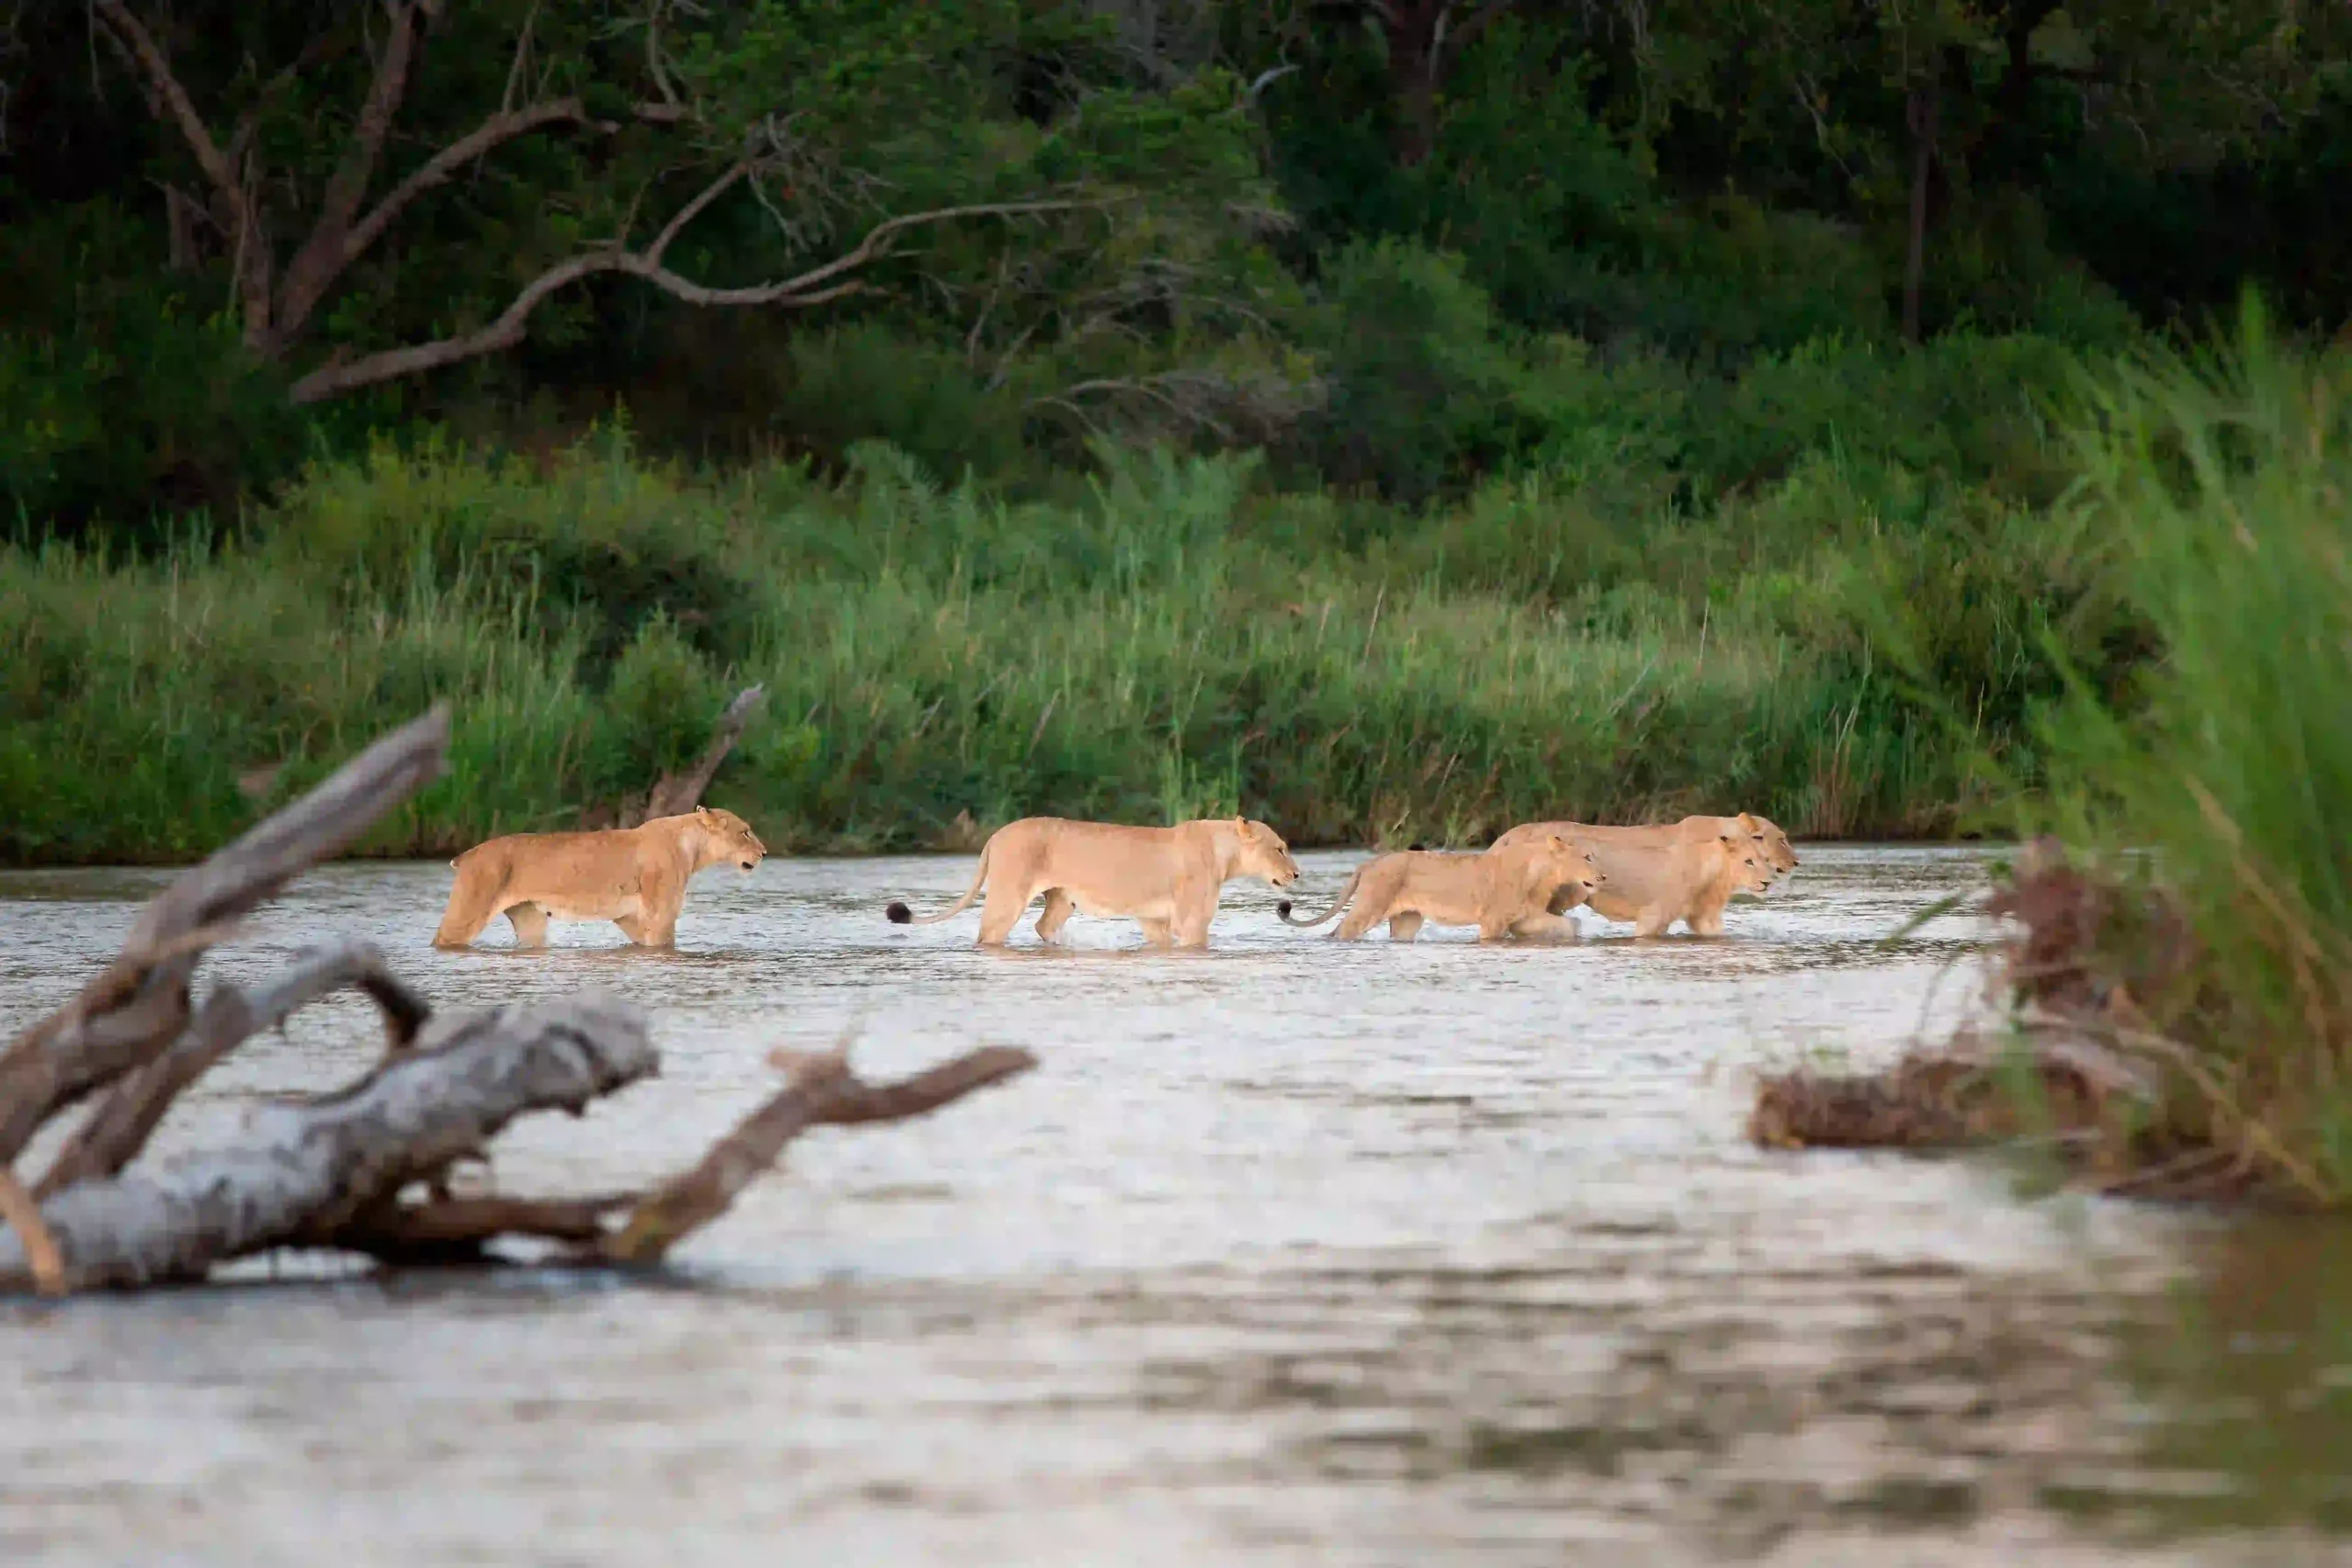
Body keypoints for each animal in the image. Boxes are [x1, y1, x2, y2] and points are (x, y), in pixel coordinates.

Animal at [432, 806, 767, 950]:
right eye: (745, 832)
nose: (764, 852)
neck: (692, 846)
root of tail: (468, 853)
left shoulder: (630, 916)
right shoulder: (661, 916)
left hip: (530, 920)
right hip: (469, 909)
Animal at [883, 814, 1301, 948]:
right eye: (1280, 848)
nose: (1297, 873)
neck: (1224, 852)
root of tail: (993, 837)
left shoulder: (1154, 919)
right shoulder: (1191, 921)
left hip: (1061, 898)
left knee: (1043, 926)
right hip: (1008, 897)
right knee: (988, 935)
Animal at [1273, 834, 1601, 942]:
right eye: (1588, 857)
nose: (1603, 877)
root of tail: (1371, 861)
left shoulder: (1525, 915)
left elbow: (1571, 923)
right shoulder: (1492, 921)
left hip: (1407, 920)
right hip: (1369, 908)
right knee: (1339, 931)